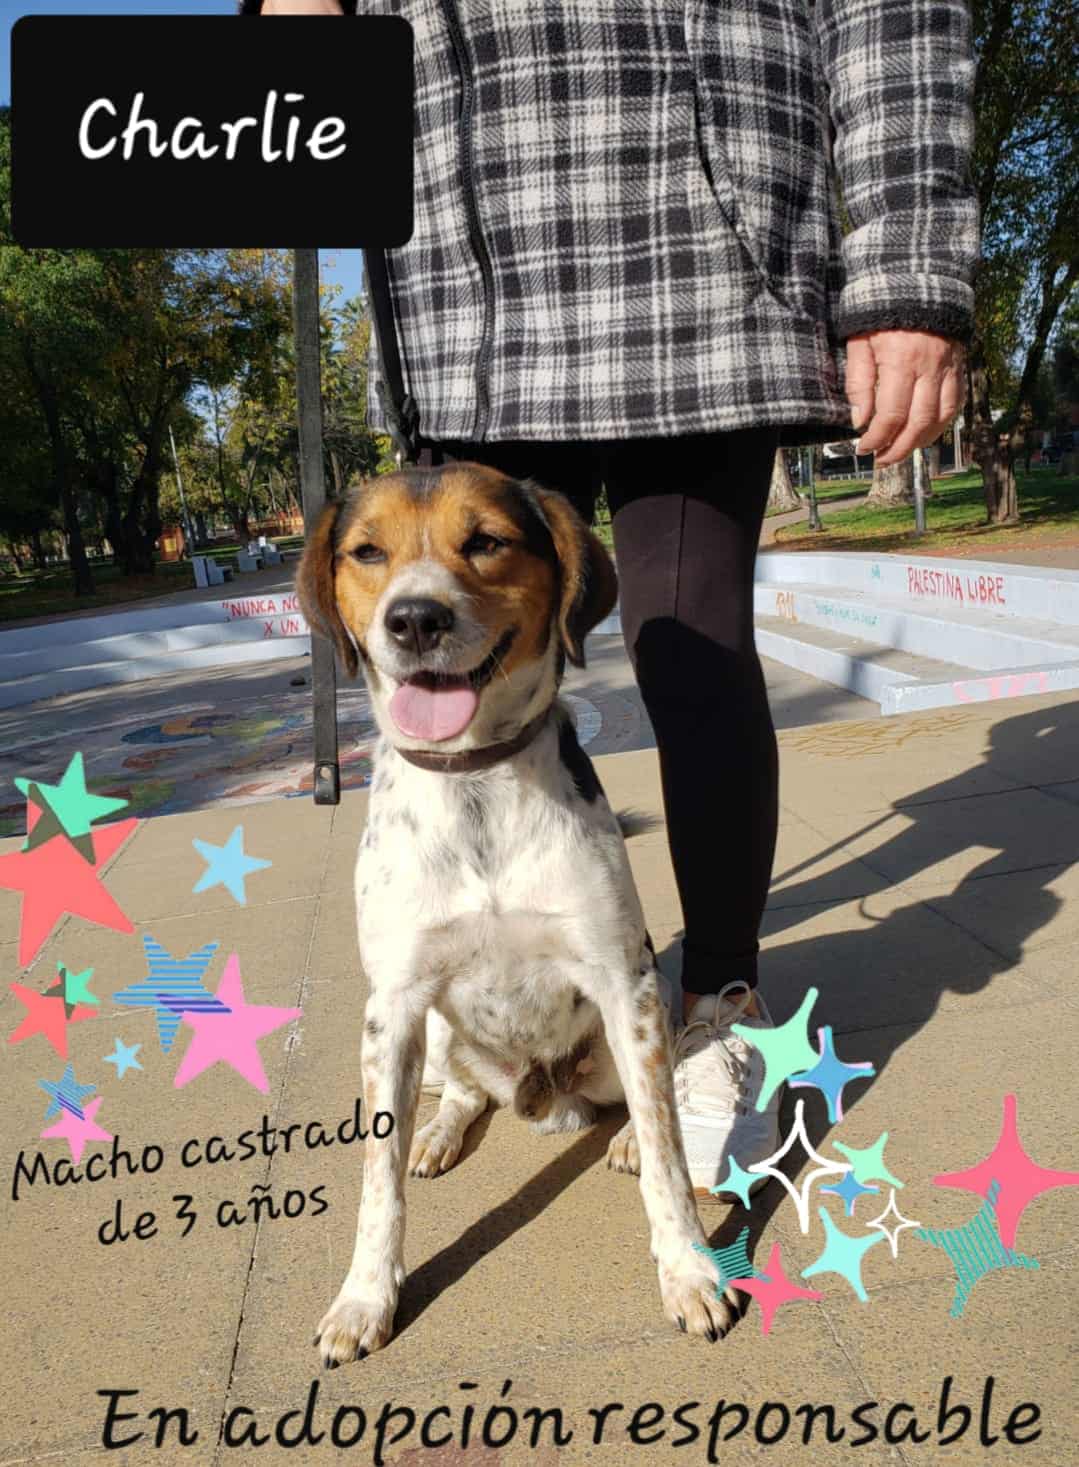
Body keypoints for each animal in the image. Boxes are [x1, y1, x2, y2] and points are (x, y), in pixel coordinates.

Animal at [294, 460, 733, 1361]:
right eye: (367, 551)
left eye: (487, 541)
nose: (415, 618)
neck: (475, 783)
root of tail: (546, 1096)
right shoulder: (393, 1007)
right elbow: (376, 1180)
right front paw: (364, 1298)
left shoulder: (623, 981)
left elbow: (668, 1149)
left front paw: (688, 1271)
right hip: (432, 1035)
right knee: (462, 1092)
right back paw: (436, 1133)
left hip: (646, 1008)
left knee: (643, 1097)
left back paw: (620, 1135)